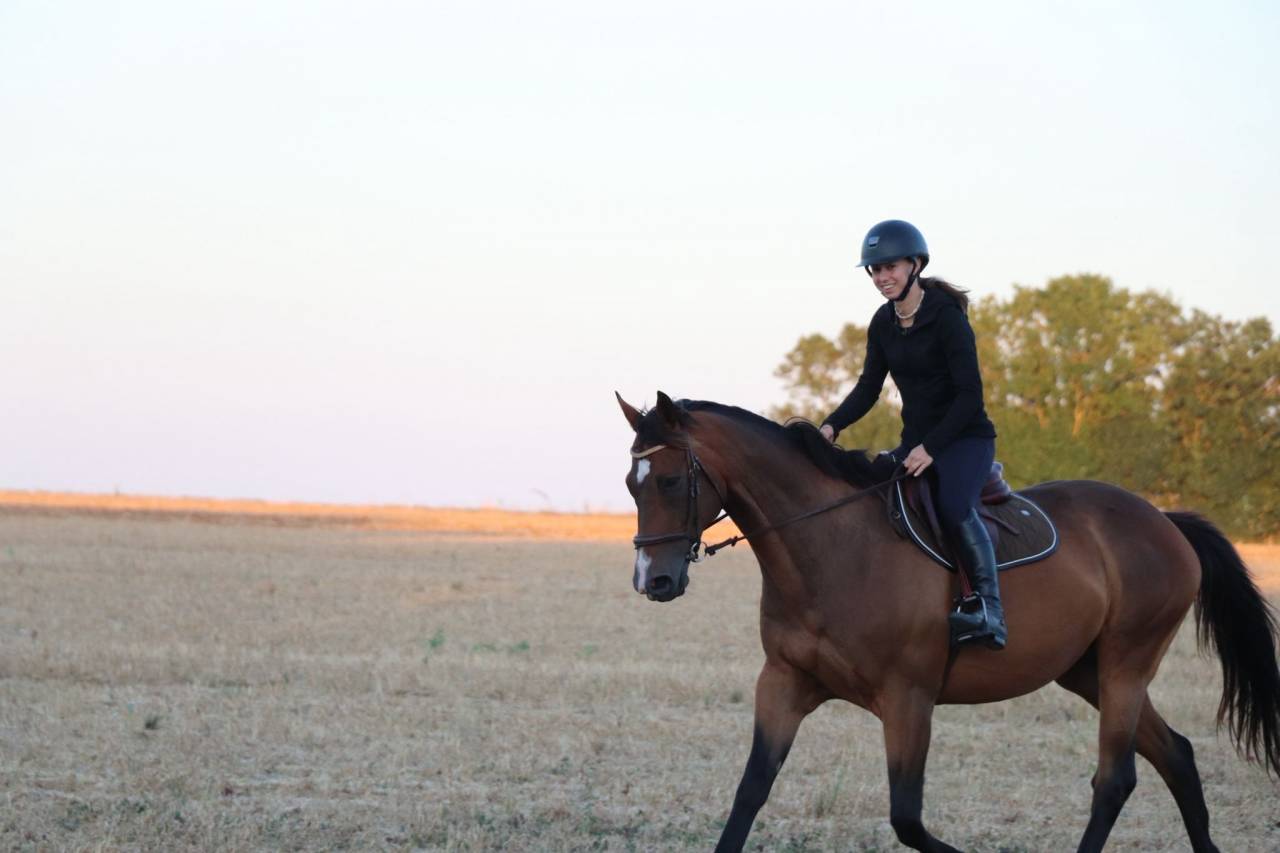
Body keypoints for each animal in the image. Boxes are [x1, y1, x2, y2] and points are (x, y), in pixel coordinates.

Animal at [616, 391, 1280, 853]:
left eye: (671, 480)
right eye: (631, 484)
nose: (653, 581)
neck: (829, 548)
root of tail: (1165, 521)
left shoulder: (908, 697)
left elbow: (907, 818)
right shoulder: (784, 683)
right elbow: (750, 791)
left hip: (1125, 666)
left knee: (1115, 780)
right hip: (1088, 673)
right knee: (1177, 755)